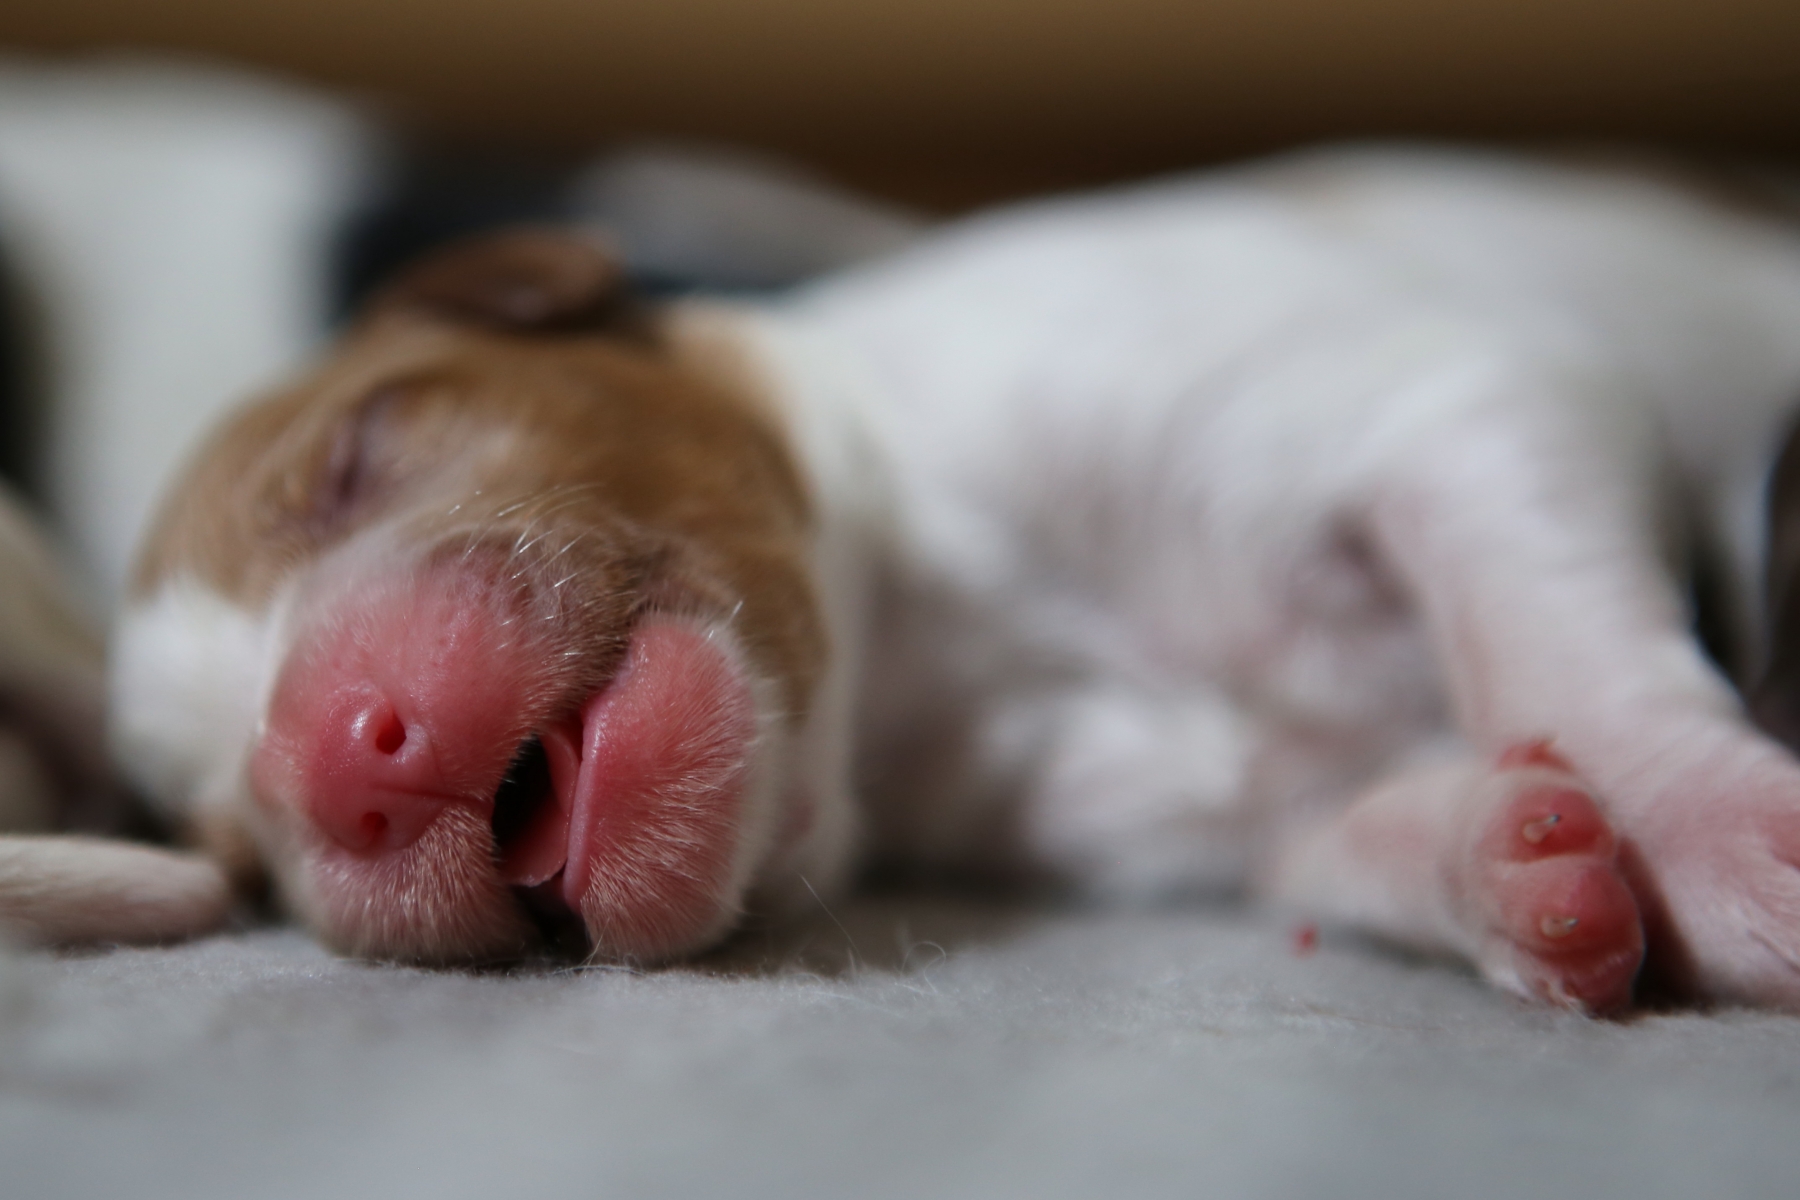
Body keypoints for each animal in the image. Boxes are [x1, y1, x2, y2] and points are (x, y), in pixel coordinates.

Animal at [17, 145, 1800, 1013]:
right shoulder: (1230, 809)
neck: (932, 665)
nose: (334, 760)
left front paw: (1718, 844)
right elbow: (1343, 843)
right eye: (233, 844)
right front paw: (1516, 866)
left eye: (358, 453)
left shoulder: (1458, 404)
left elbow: (1566, 649)